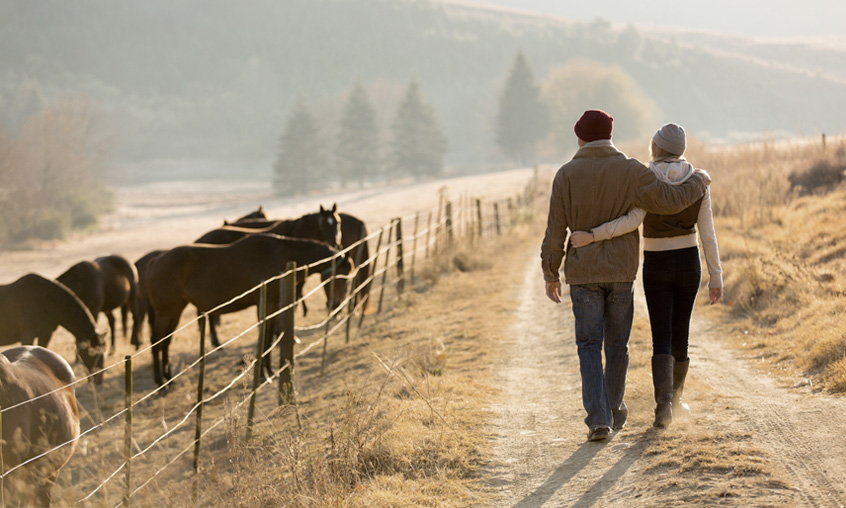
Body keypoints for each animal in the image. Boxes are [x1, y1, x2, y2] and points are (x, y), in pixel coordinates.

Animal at [146, 234, 352, 384]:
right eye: (341, 276)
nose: (336, 304)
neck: (281, 254)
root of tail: (155, 261)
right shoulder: (265, 304)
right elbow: (264, 335)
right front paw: (262, 374)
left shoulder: (275, 305)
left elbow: (269, 336)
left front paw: (270, 371)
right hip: (165, 312)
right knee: (156, 341)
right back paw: (159, 382)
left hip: (175, 311)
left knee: (165, 342)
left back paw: (169, 379)